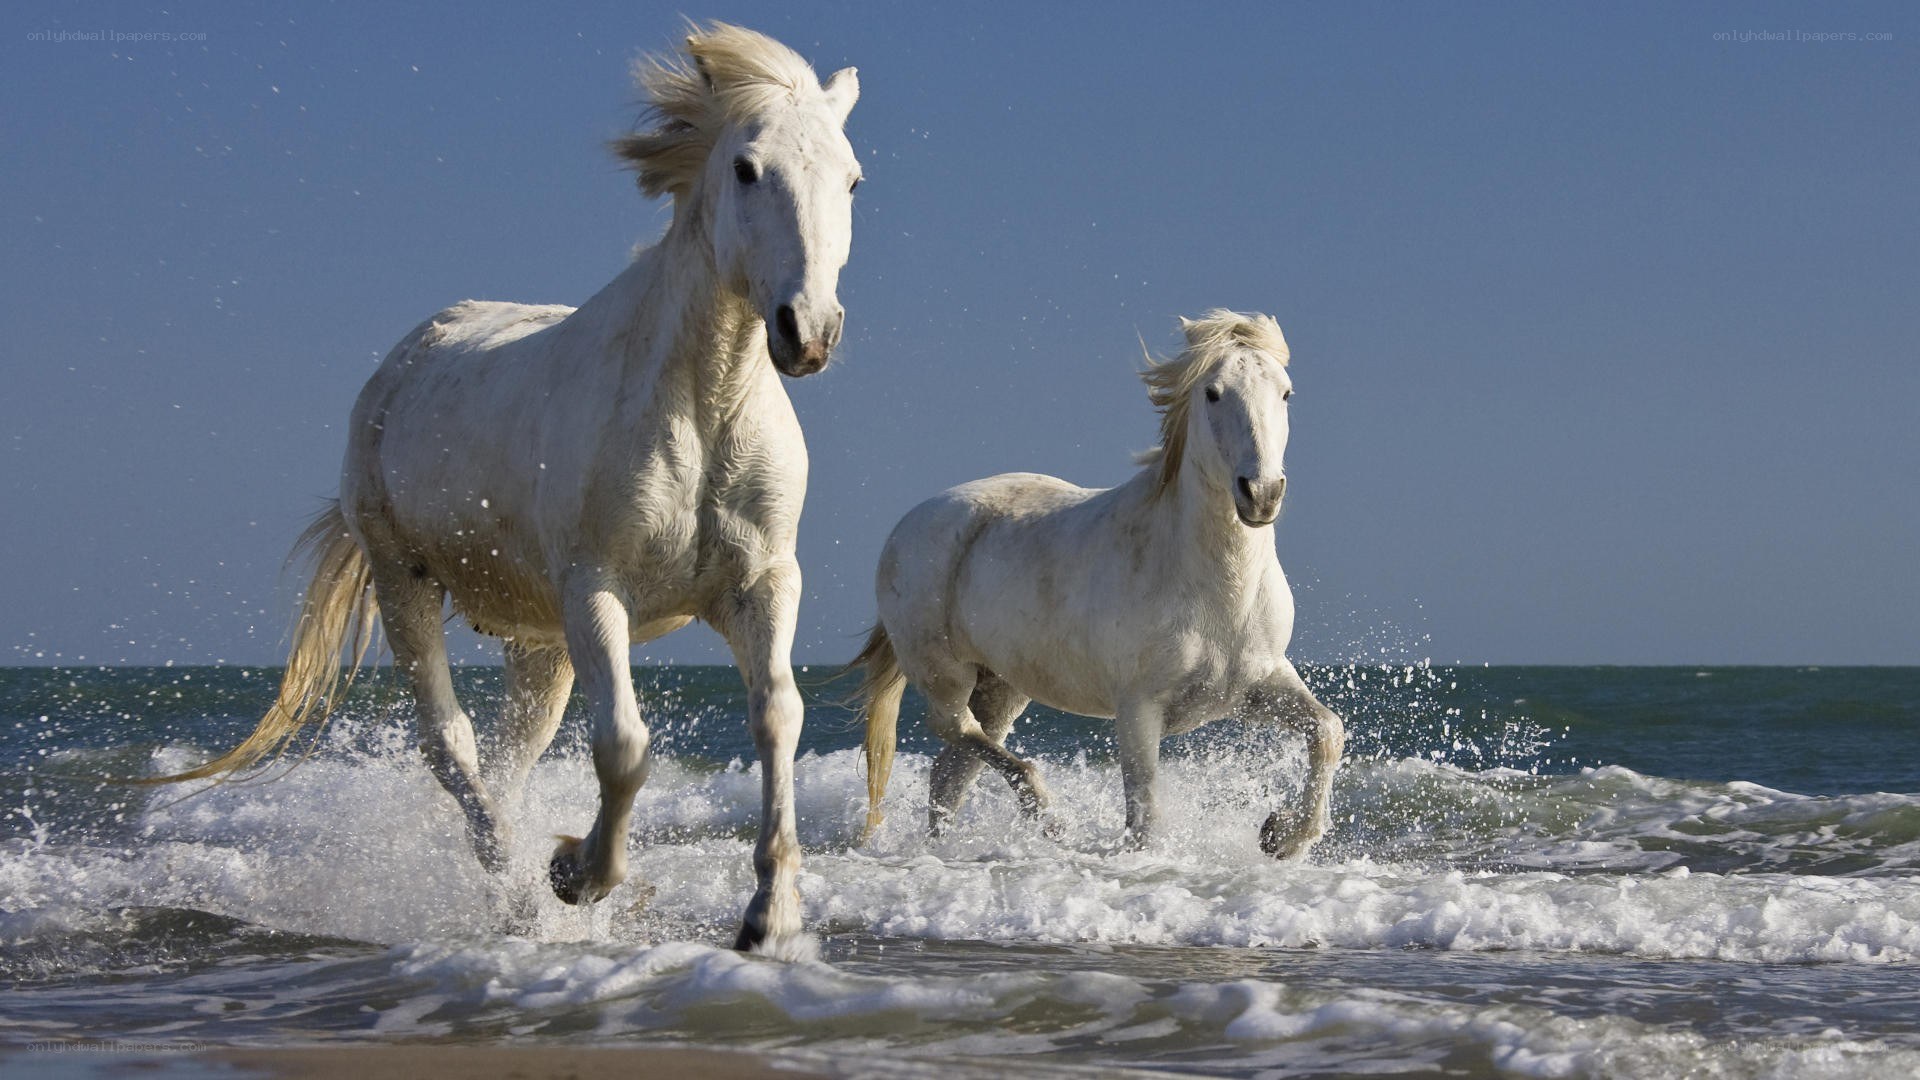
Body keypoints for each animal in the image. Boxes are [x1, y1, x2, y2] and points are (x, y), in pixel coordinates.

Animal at [144, 23, 862, 953]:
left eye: (851, 178)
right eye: (746, 168)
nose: (807, 332)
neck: (701, 405)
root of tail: (407, 356)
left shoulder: (763, 584)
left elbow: (777, 716)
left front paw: (769, 915)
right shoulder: (596, 589)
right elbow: (624, 744)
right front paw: (575, 876)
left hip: (540, 645)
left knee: (506, 761)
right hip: (407, 583)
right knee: (451, 747)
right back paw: (517, 894)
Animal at [854, 311, 1345, 859]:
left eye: (1286, 392)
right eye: (1213, 393)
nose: (1260, 494)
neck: (1216, 590)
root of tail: (908, 523)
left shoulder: (1256, 687)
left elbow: (1328, 729)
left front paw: (1282, 835)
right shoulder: (1138, 710)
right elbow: (1145, 817)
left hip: (1002, 687)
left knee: (950, 772)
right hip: (944, 672)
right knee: (954, 730)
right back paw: (1045, 815)